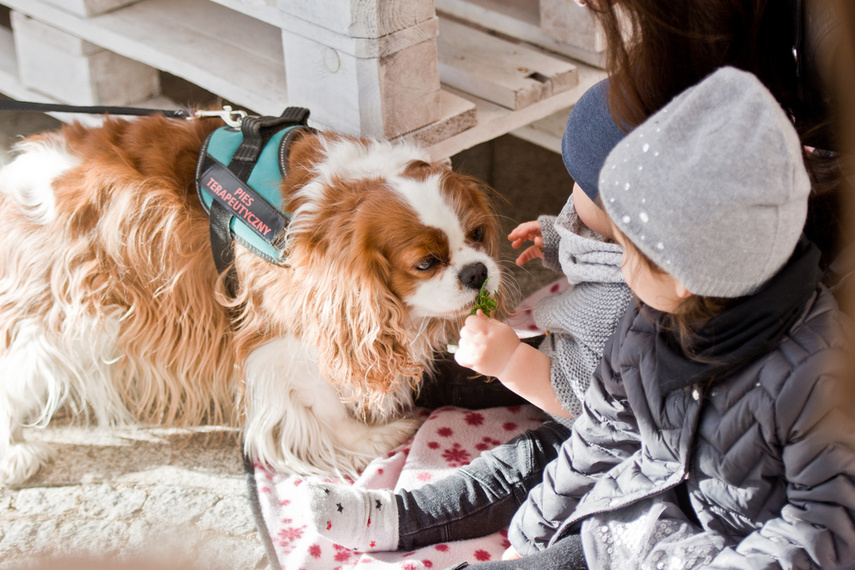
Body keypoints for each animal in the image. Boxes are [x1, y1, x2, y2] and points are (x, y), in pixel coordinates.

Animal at [0, 112, 502, 484]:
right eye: (426, 263)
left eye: (478, 235)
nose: (477, 272)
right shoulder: (284, 338)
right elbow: (326, 402)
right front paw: (370, 439)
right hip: (54, 316)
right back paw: (16, 453)